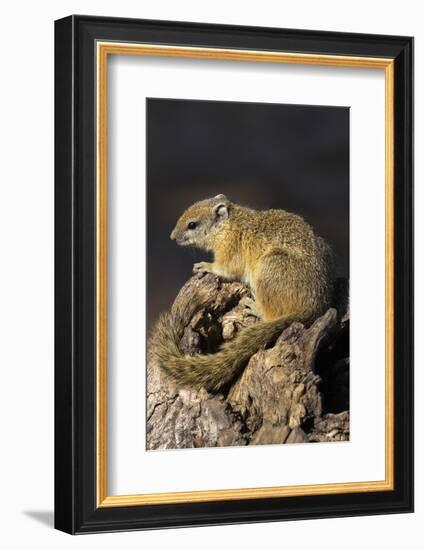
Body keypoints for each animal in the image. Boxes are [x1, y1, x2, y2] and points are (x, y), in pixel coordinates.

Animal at [152, 194, 334, 392]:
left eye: (192, 225)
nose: (172, 236)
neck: (229, 224)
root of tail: (313, 307)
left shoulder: (230, 251)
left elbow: (225, 269)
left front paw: (206, 266)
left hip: (269, 266)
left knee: (270, 315)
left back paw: (254, 306)